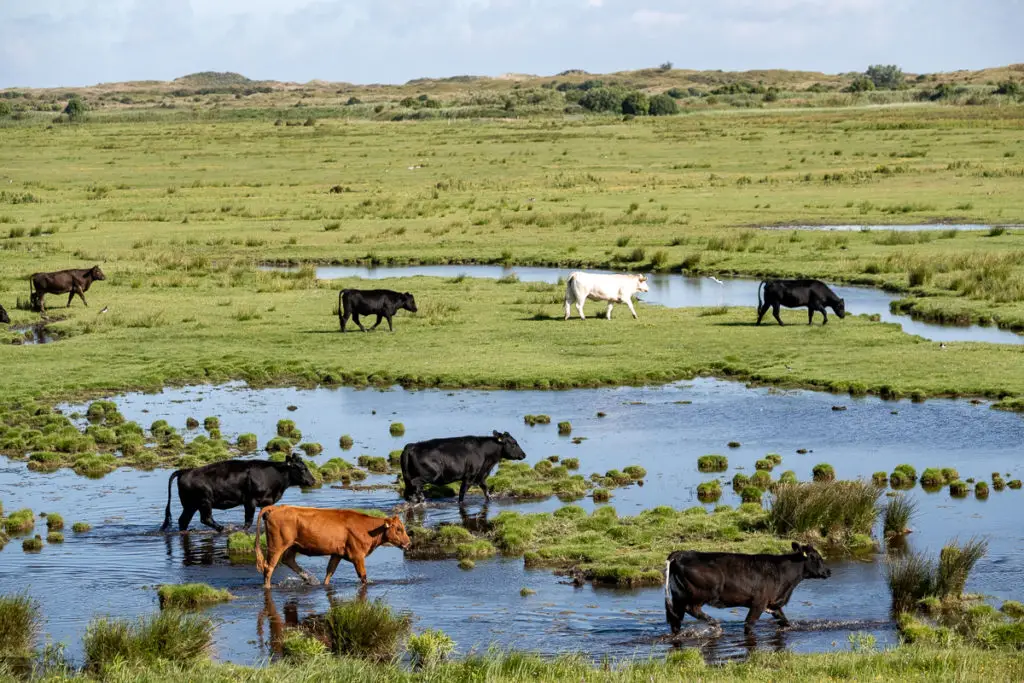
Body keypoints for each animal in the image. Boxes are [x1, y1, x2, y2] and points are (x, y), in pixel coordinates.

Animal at [160, 454, 315, 532]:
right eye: (303, 468)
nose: (313, 481)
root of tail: (185, 471)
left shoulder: (266, 501)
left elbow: (266, 516)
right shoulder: (250, 501)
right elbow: (248, 521)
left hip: (190, 505)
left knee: (183, 520)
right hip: (204, 502)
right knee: (206, 518)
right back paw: (222, 529)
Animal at [253, 507, 409, 589]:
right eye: (399, 529)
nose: (408, 543)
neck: (367, 528)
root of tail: (277, 507)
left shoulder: (337, 554)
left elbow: (330, 571)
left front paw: (325, 584)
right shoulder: (357, 556)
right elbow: (363, 576)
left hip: (292, 546)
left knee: (288, 560)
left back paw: (309, 579)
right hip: (276, 545)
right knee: (269, 567)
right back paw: (267, 586)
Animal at [399, 430, 528, 505]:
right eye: (513, 443)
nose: (523, 455)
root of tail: (412, 446)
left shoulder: (480, 475)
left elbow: (485, 489)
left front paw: (489, 499)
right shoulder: (469, 476)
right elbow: (462, 493)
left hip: (408, 477)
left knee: (409, 491)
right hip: (430, 474)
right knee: (416, 484)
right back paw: (421, 500)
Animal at [663, 540, 831, 634]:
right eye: (816, 557)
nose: (828, 571)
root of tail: (681, 554)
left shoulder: (773, 604)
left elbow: (784, 621)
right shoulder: (758, 603)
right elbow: (749, 624)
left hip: (678, 596)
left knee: (676, 620)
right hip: (701, 594)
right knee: (692, 609)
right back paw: (715, 624)